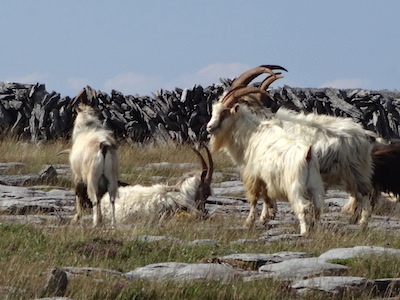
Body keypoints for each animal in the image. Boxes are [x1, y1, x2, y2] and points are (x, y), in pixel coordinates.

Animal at [69, 89, 119, 227]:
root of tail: (103, 146)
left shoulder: (78, 176)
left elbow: (78, 195)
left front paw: (76, 218)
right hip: (111, 177)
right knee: (111, 199)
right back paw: (112, 224)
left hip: (92, 178)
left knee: (94, 199)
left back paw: (95, 223)